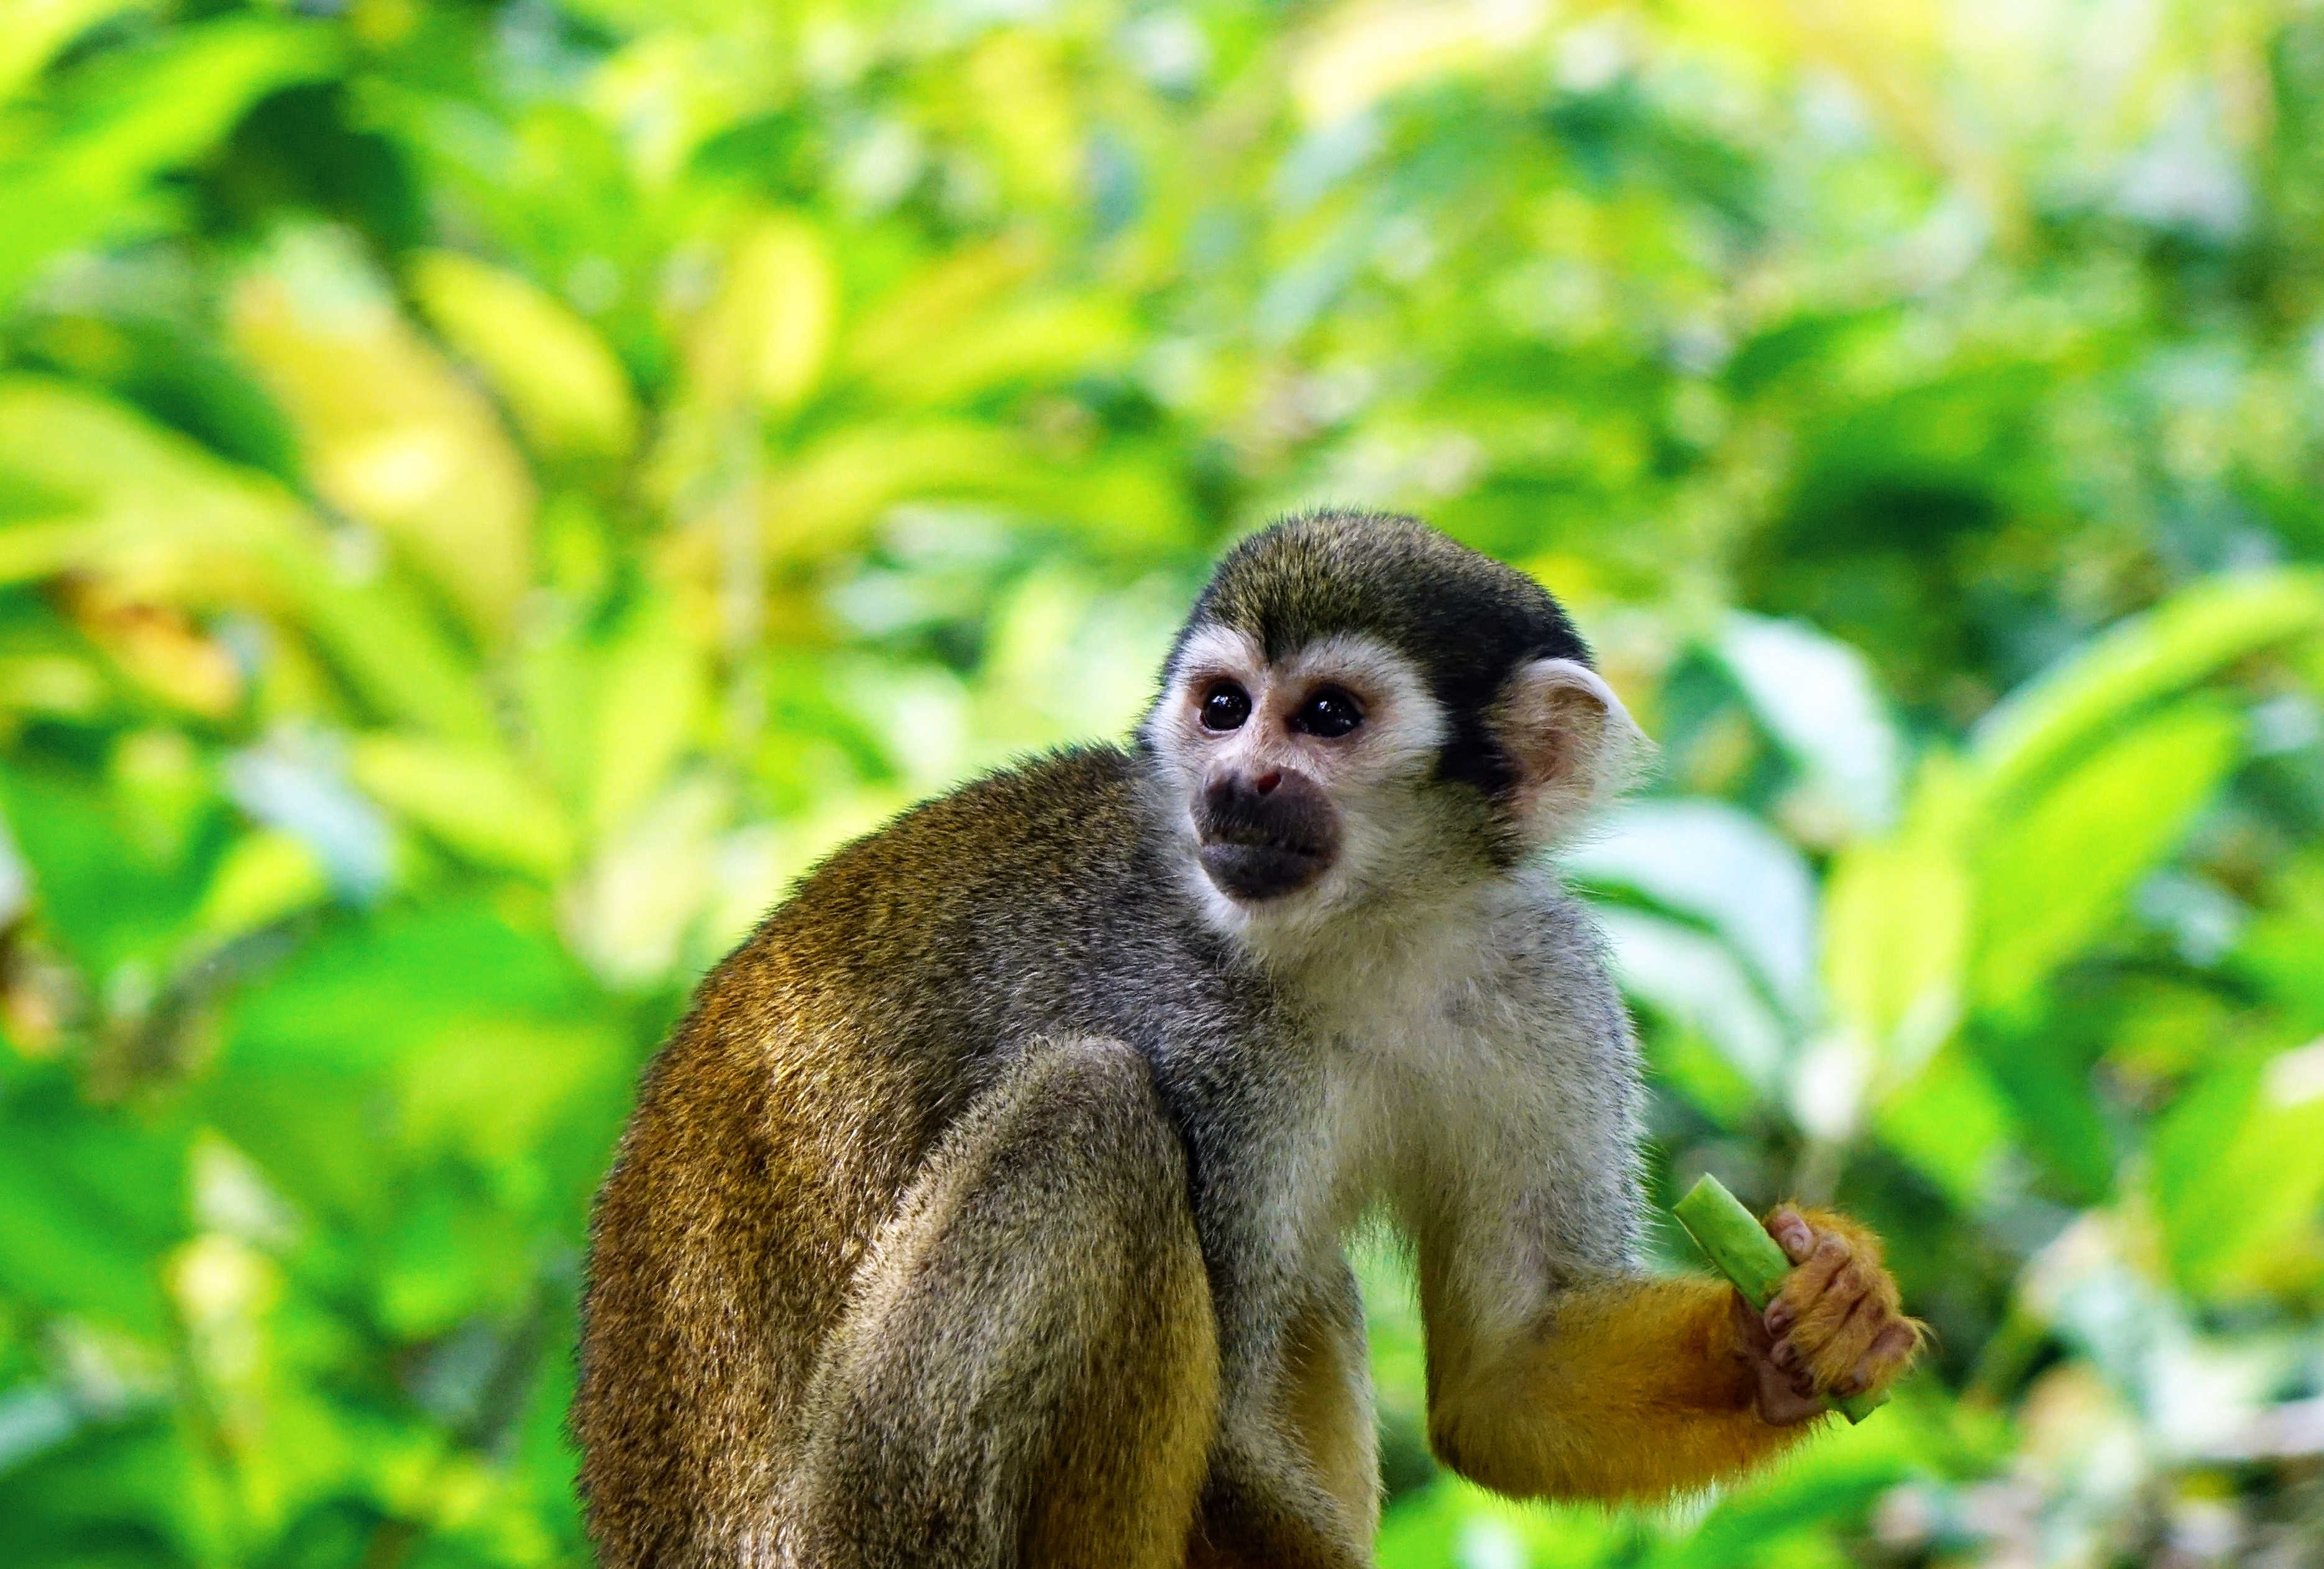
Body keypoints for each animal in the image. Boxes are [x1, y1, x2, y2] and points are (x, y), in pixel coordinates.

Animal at [581, 516, 1924, 1569]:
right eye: (1224, 709)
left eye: (1327, 716)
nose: (1238, 783)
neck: (1369, 935)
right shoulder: (1195, 1028)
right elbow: (1225, 1437)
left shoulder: (1544, 981)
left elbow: (1509, 1374)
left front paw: (1809, 1320)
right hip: (841, 1532)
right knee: (1094, 1114)